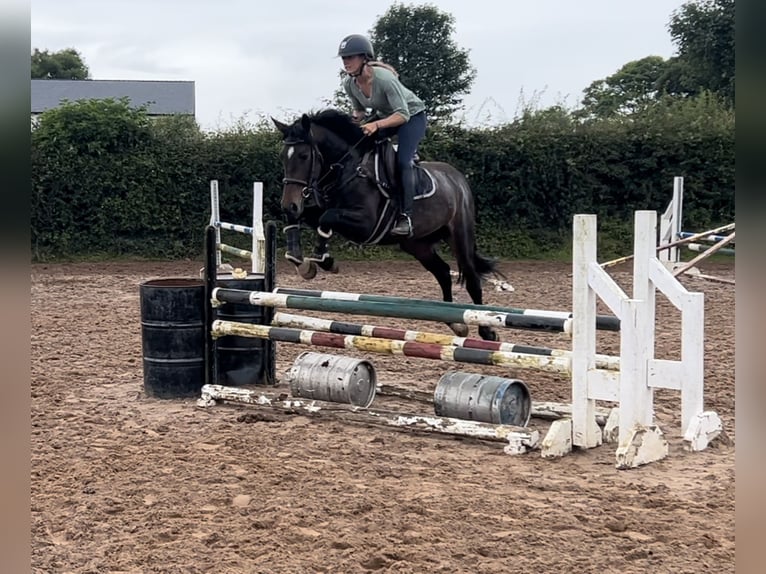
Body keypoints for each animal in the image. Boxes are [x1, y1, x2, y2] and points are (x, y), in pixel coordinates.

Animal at [272, 109, 504, 340]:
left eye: (304, 156)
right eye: (282, 157)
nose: (288, 205)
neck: (348, 168)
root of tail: (458, 178)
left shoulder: (365, 225)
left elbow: (326, 218)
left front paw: (324, 260)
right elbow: (305, 219)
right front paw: (300, 261)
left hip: (460, 235)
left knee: (472, 277)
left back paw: (486, 330)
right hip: (417, 245)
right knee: (443, 272)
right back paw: (455, 323)